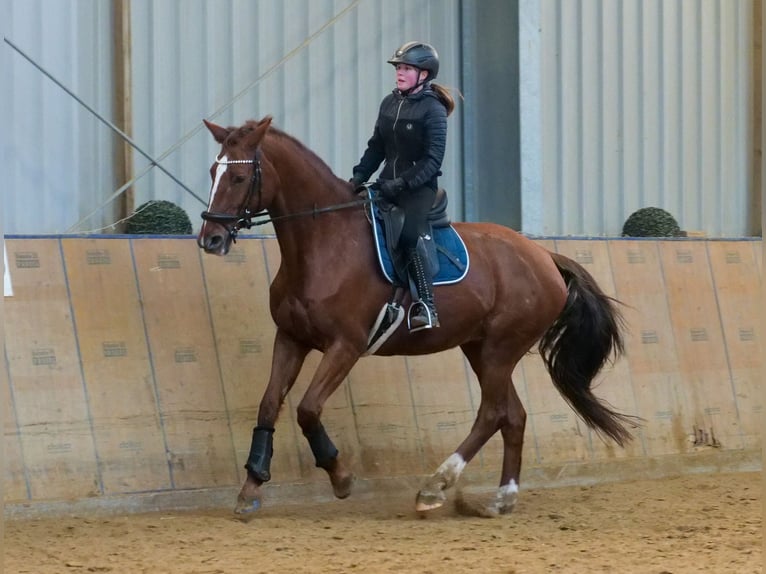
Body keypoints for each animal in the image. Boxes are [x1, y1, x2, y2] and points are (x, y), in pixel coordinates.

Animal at [198, 116, 636, 516]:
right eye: (213, 172)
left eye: (238, 176)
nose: (211, 240)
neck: (325, 243)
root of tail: (544, 256)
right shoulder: (291, 339)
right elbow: (269, 404)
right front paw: (251, 488)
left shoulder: (346, 346)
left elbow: (307, 409)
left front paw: (341, 477)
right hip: (480, 349)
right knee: (512, 415)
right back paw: (502, 498)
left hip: (501, 349)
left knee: (492, 412)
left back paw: (435, 486)